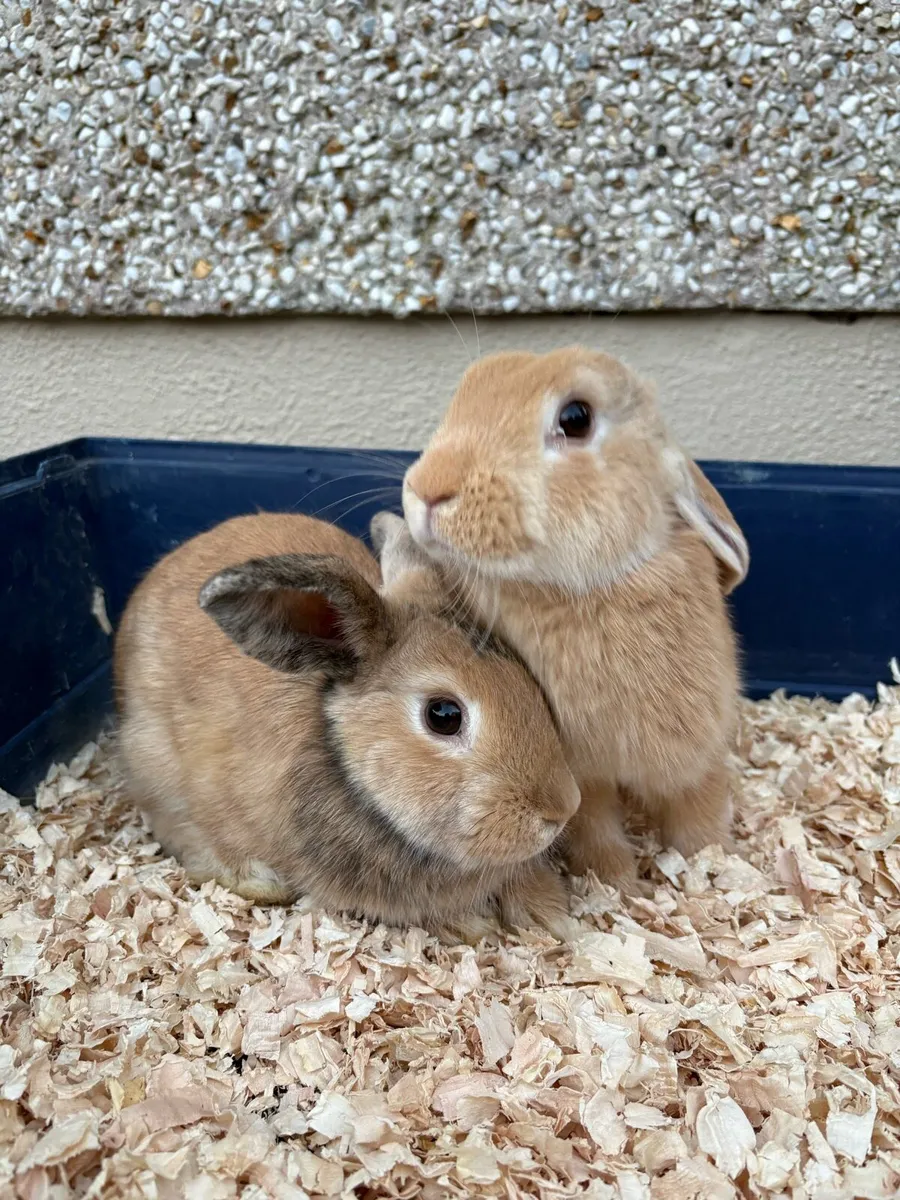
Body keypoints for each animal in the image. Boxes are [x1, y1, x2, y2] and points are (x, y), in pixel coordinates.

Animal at [113, 511, 581, 941]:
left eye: (527, 680)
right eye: (444, 715)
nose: (562, 810)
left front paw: (550, 916)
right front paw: (474, 924)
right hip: (154, 765)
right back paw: (260, 882)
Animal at [378, 346, 749, 891]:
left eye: (576, 418)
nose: (428, 489)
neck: (584, 592)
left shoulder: (697, 755)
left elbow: (698, 815)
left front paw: (714, 865)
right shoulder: (583, 778)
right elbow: (596, 828)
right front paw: (616, 883)